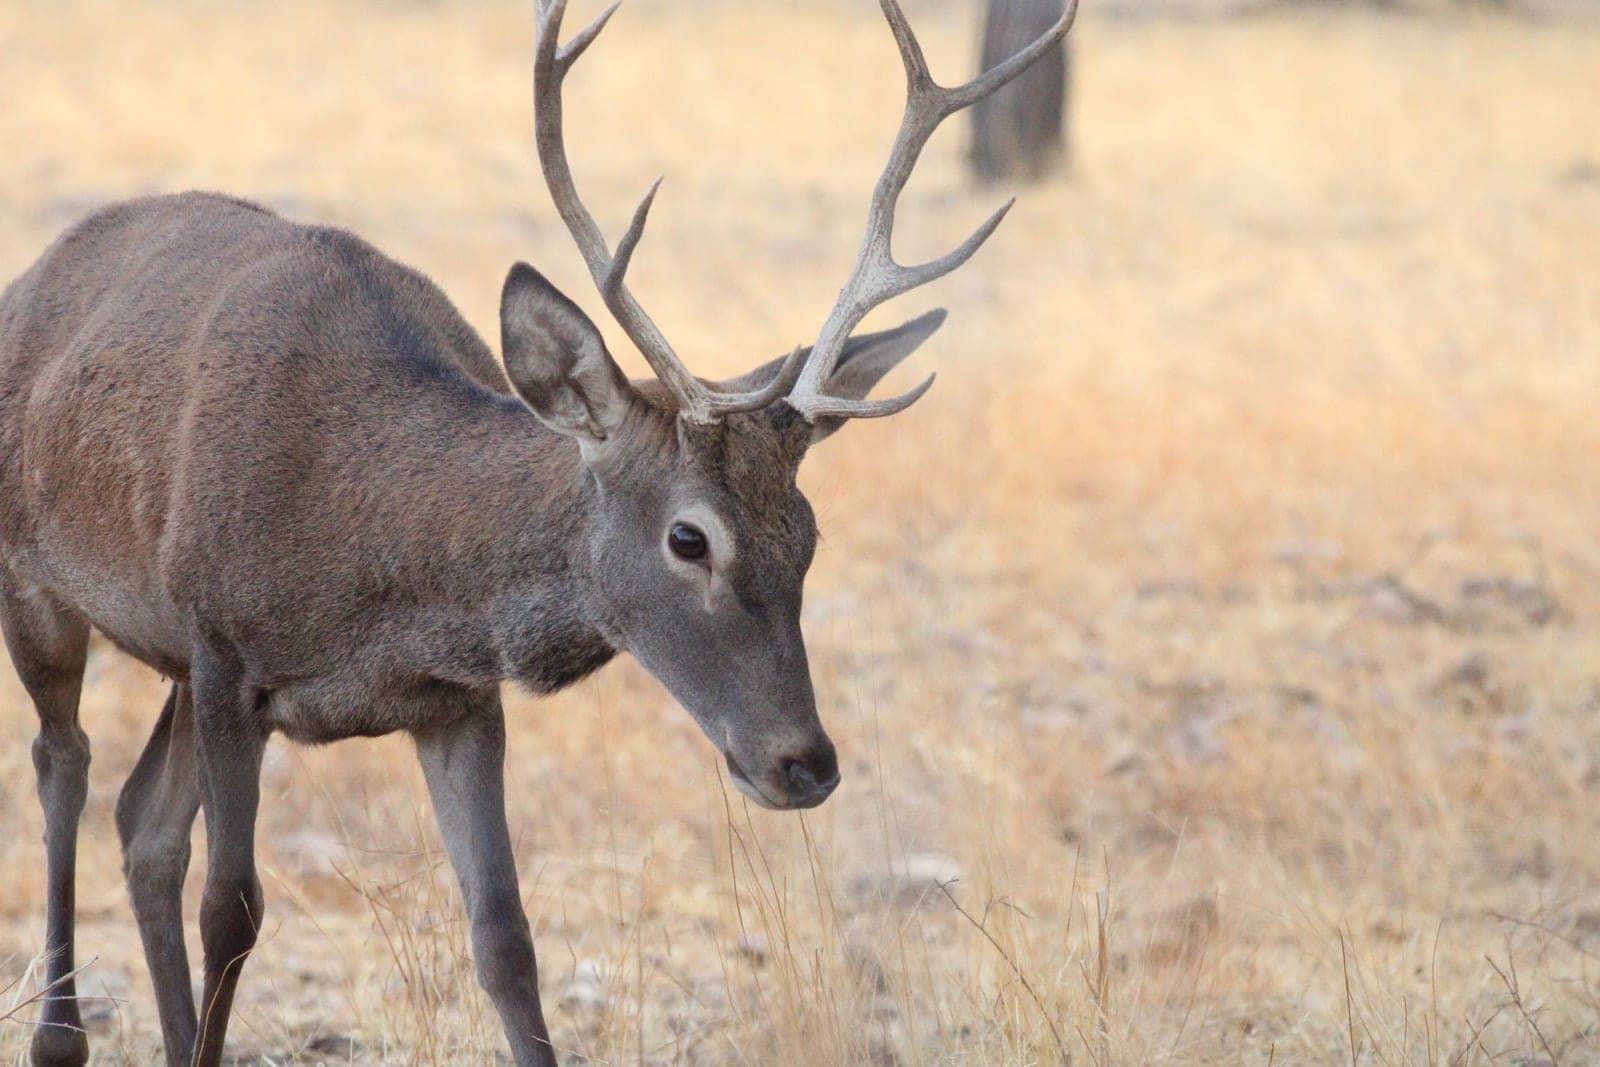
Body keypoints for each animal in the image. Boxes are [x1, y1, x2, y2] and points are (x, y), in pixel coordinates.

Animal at [0, 1, 1075, 1063]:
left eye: (809, 535)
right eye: (691, 538)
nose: (803, 763)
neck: (369, 569)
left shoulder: (454, 699)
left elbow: (505, 936)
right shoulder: (227, 649)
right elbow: (232, 909)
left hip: (173, 663)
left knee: (143, 822)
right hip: (42, 585)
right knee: (66, 769)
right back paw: (60, 1033)